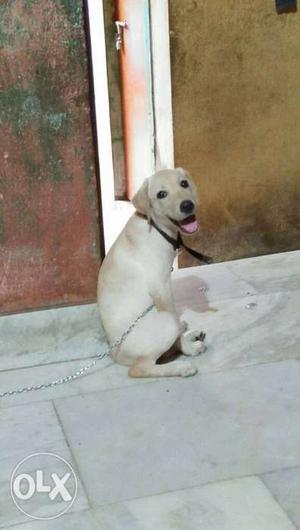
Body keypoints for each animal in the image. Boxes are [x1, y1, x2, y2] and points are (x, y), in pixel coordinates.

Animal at [98, 166, 206, 376]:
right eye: (161, 194)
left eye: (184, 183)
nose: (187, 205)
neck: (157, 228)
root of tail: (115, 356)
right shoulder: (161, 288)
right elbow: (173, 317)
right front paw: (186, 348)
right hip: (164, 323)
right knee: (140, 368)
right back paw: (180, 364)